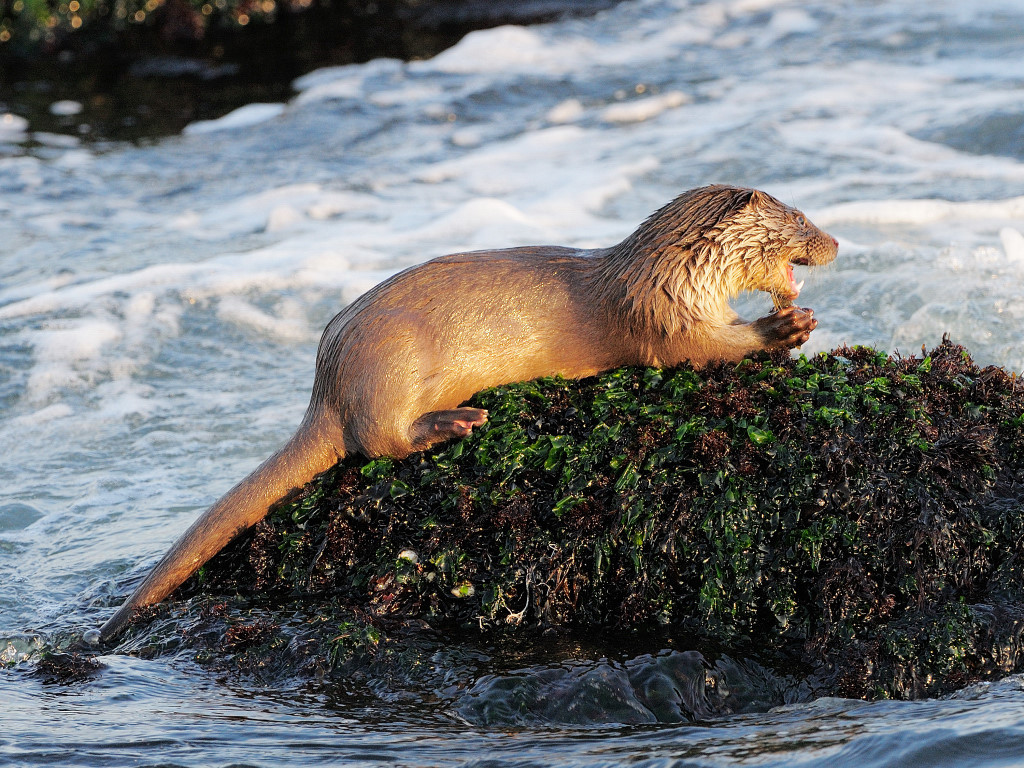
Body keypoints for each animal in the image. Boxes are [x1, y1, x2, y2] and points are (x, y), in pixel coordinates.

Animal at [97, 185, 839, 643]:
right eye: (804, 220)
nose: (835, 243)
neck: (666, 271)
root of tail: (326, 382)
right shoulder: (663, 317)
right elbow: (708, 348)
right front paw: (782, 329)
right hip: (392, 361)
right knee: (379, 442)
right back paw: (452, 422)